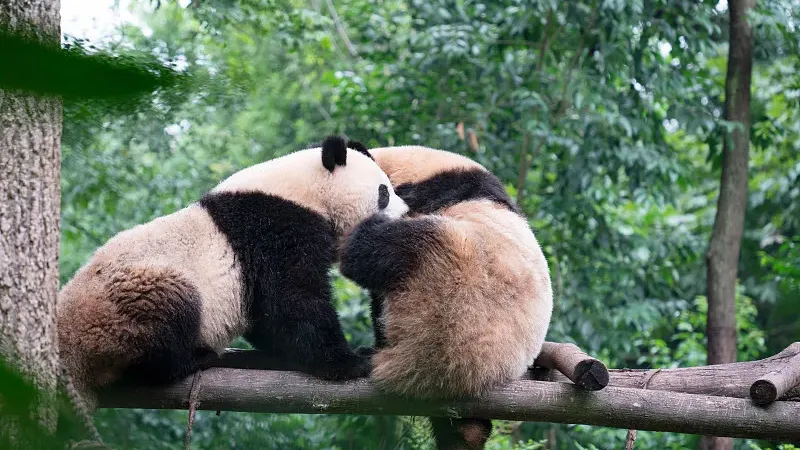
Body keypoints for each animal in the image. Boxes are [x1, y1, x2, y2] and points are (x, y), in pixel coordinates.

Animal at [57, 136, 409, 416]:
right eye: (384, 192)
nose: (406, 214)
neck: (306, 189)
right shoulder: (274, 229)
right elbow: (292, 300)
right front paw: (349, 362)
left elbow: (268, 318)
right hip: (126, 302)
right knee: (169, 314)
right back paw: (197, 359)